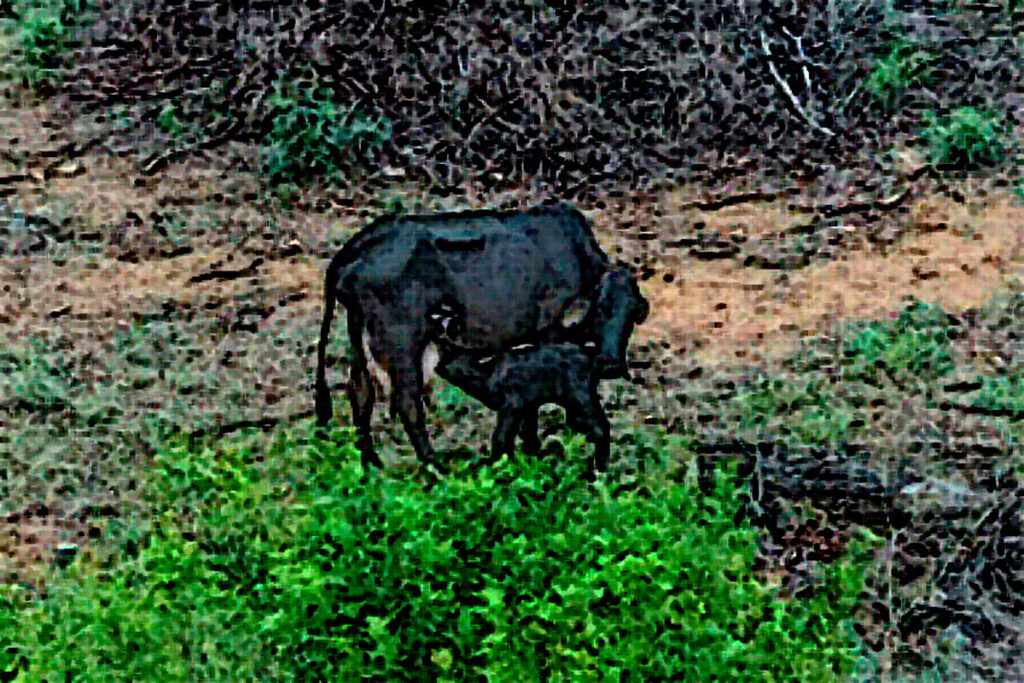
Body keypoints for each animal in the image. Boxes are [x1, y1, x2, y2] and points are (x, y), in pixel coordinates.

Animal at [314, 204, 649, 472]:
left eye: (633, 315)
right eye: (601, 308)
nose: (612, 364)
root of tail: (362, 242)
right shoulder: (547, 333)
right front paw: (534, 450)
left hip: (358, 334)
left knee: (360, 394)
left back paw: (370, 465)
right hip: (401, 345)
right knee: (408, 405)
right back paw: (435, 469)